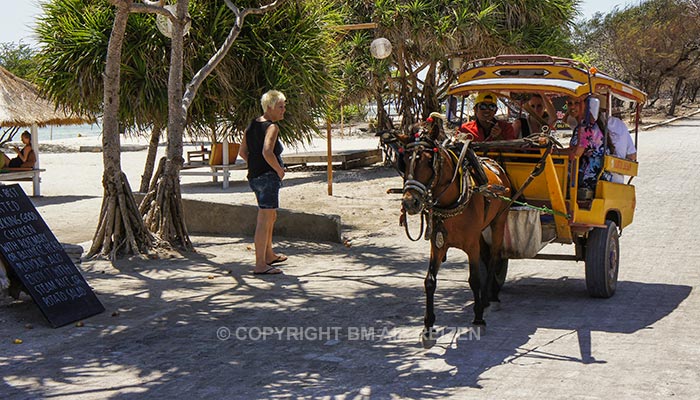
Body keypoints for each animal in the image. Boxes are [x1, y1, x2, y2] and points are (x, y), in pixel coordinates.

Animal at [396, 116, 512, 346]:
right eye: (404, 161)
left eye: (427, 161)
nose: (410, 203)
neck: (452, 200)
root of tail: (496, 165)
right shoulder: (438, 244)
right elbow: (429, 281)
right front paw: (428, 327)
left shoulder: (471, 244)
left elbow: (474, 280)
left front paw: (478, 319)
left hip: (499, 221)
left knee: (494, 258)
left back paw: (490, 298)